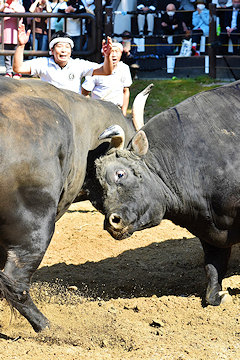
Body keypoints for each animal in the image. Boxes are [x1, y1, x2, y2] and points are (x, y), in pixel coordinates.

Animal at [92, 81, 240, 310]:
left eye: (120, 173)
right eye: (99, 187)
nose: (112, 221)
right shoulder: (210, 229)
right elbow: (213, 267)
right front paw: (217, 295)